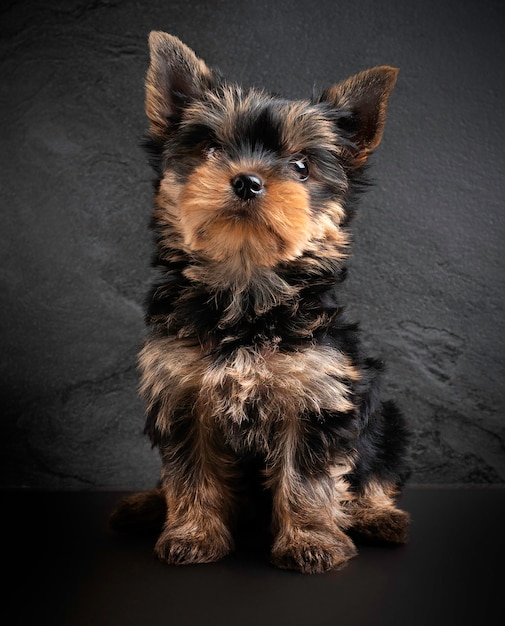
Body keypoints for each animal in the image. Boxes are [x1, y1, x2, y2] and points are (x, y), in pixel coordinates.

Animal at [111, 31, 410, 572]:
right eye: (211, 149)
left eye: (301, 166)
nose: (247, 180)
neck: (245, 287)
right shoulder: (183, 393)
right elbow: (191, 473)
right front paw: (192, 534)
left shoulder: (316, 392)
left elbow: (308, 476)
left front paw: (311, 541)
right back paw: (147, 506)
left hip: (386, 415)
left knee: (377, 464)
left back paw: (377, 516)